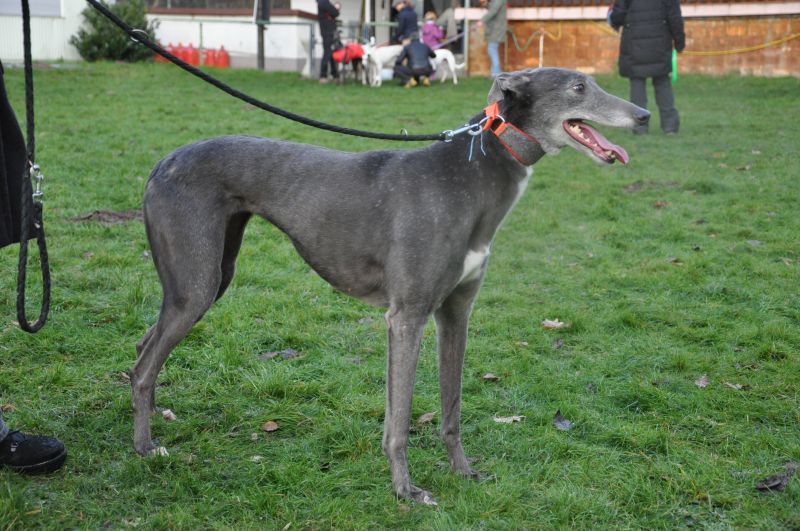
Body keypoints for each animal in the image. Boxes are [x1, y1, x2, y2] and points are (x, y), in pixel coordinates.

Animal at [132, 68, 649, 505]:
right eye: (578, 87)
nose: (644, 116)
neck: (471, 174)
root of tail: (161, 163)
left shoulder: (455, 313)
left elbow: (451, 408)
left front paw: (463, 472)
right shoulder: (407, 316)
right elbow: (398, 419)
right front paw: (405, 490)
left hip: (209, 276)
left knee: (144, 347)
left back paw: (155, 418)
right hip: (197, 284)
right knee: (142, 366)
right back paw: (145, 448)